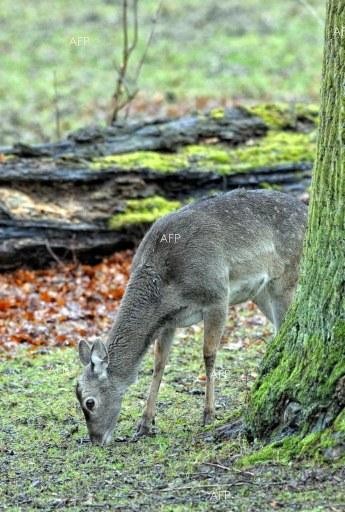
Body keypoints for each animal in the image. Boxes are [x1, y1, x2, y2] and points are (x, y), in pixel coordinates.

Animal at [76, 188, 306, 444]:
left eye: (90, 402)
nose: (96, 440)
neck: (167, 289)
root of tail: (307, 210)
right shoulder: (168, 321)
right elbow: (159, 364)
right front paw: (144, 423)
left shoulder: (217, 295)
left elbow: (209, 355)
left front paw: (208, 415)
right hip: (261, 292)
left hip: (287, 276)